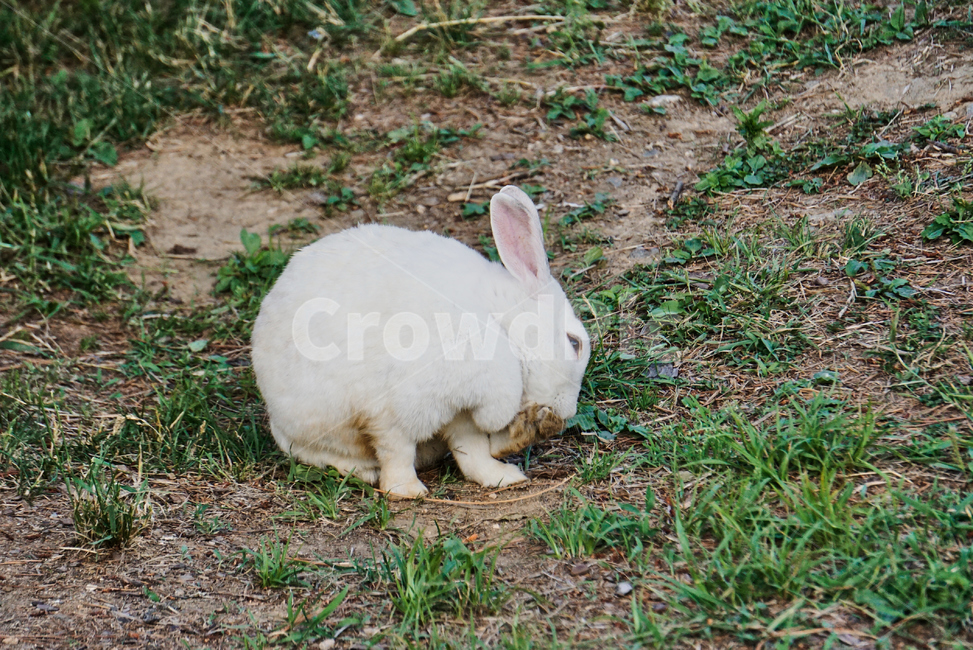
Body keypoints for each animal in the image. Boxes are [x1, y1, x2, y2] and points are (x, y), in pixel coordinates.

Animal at [251, 185, 590, 498]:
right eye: (574, 343)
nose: (567, 412)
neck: (499, 325)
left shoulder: (458, 411)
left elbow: (472, 450)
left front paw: (502, 477)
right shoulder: (391, 410)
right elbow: (396, 451)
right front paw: (406, 491)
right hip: (315, 423)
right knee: (313, 452)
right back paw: (362, 470)